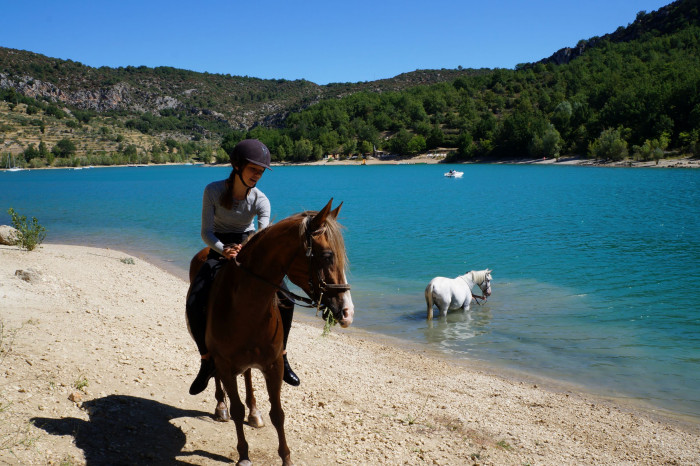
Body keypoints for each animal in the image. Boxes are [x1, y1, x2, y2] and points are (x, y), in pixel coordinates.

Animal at [189, 199, 352, 466]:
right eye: (328, 256)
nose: (348, 312)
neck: (246, 305)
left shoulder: (273, 365)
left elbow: (278, 413)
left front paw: (286, 458)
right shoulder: (224, 365)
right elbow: (236, 410)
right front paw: (244, 455)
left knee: (247, 376)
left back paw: (254, 412)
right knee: (214, 375)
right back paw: (220, 406)